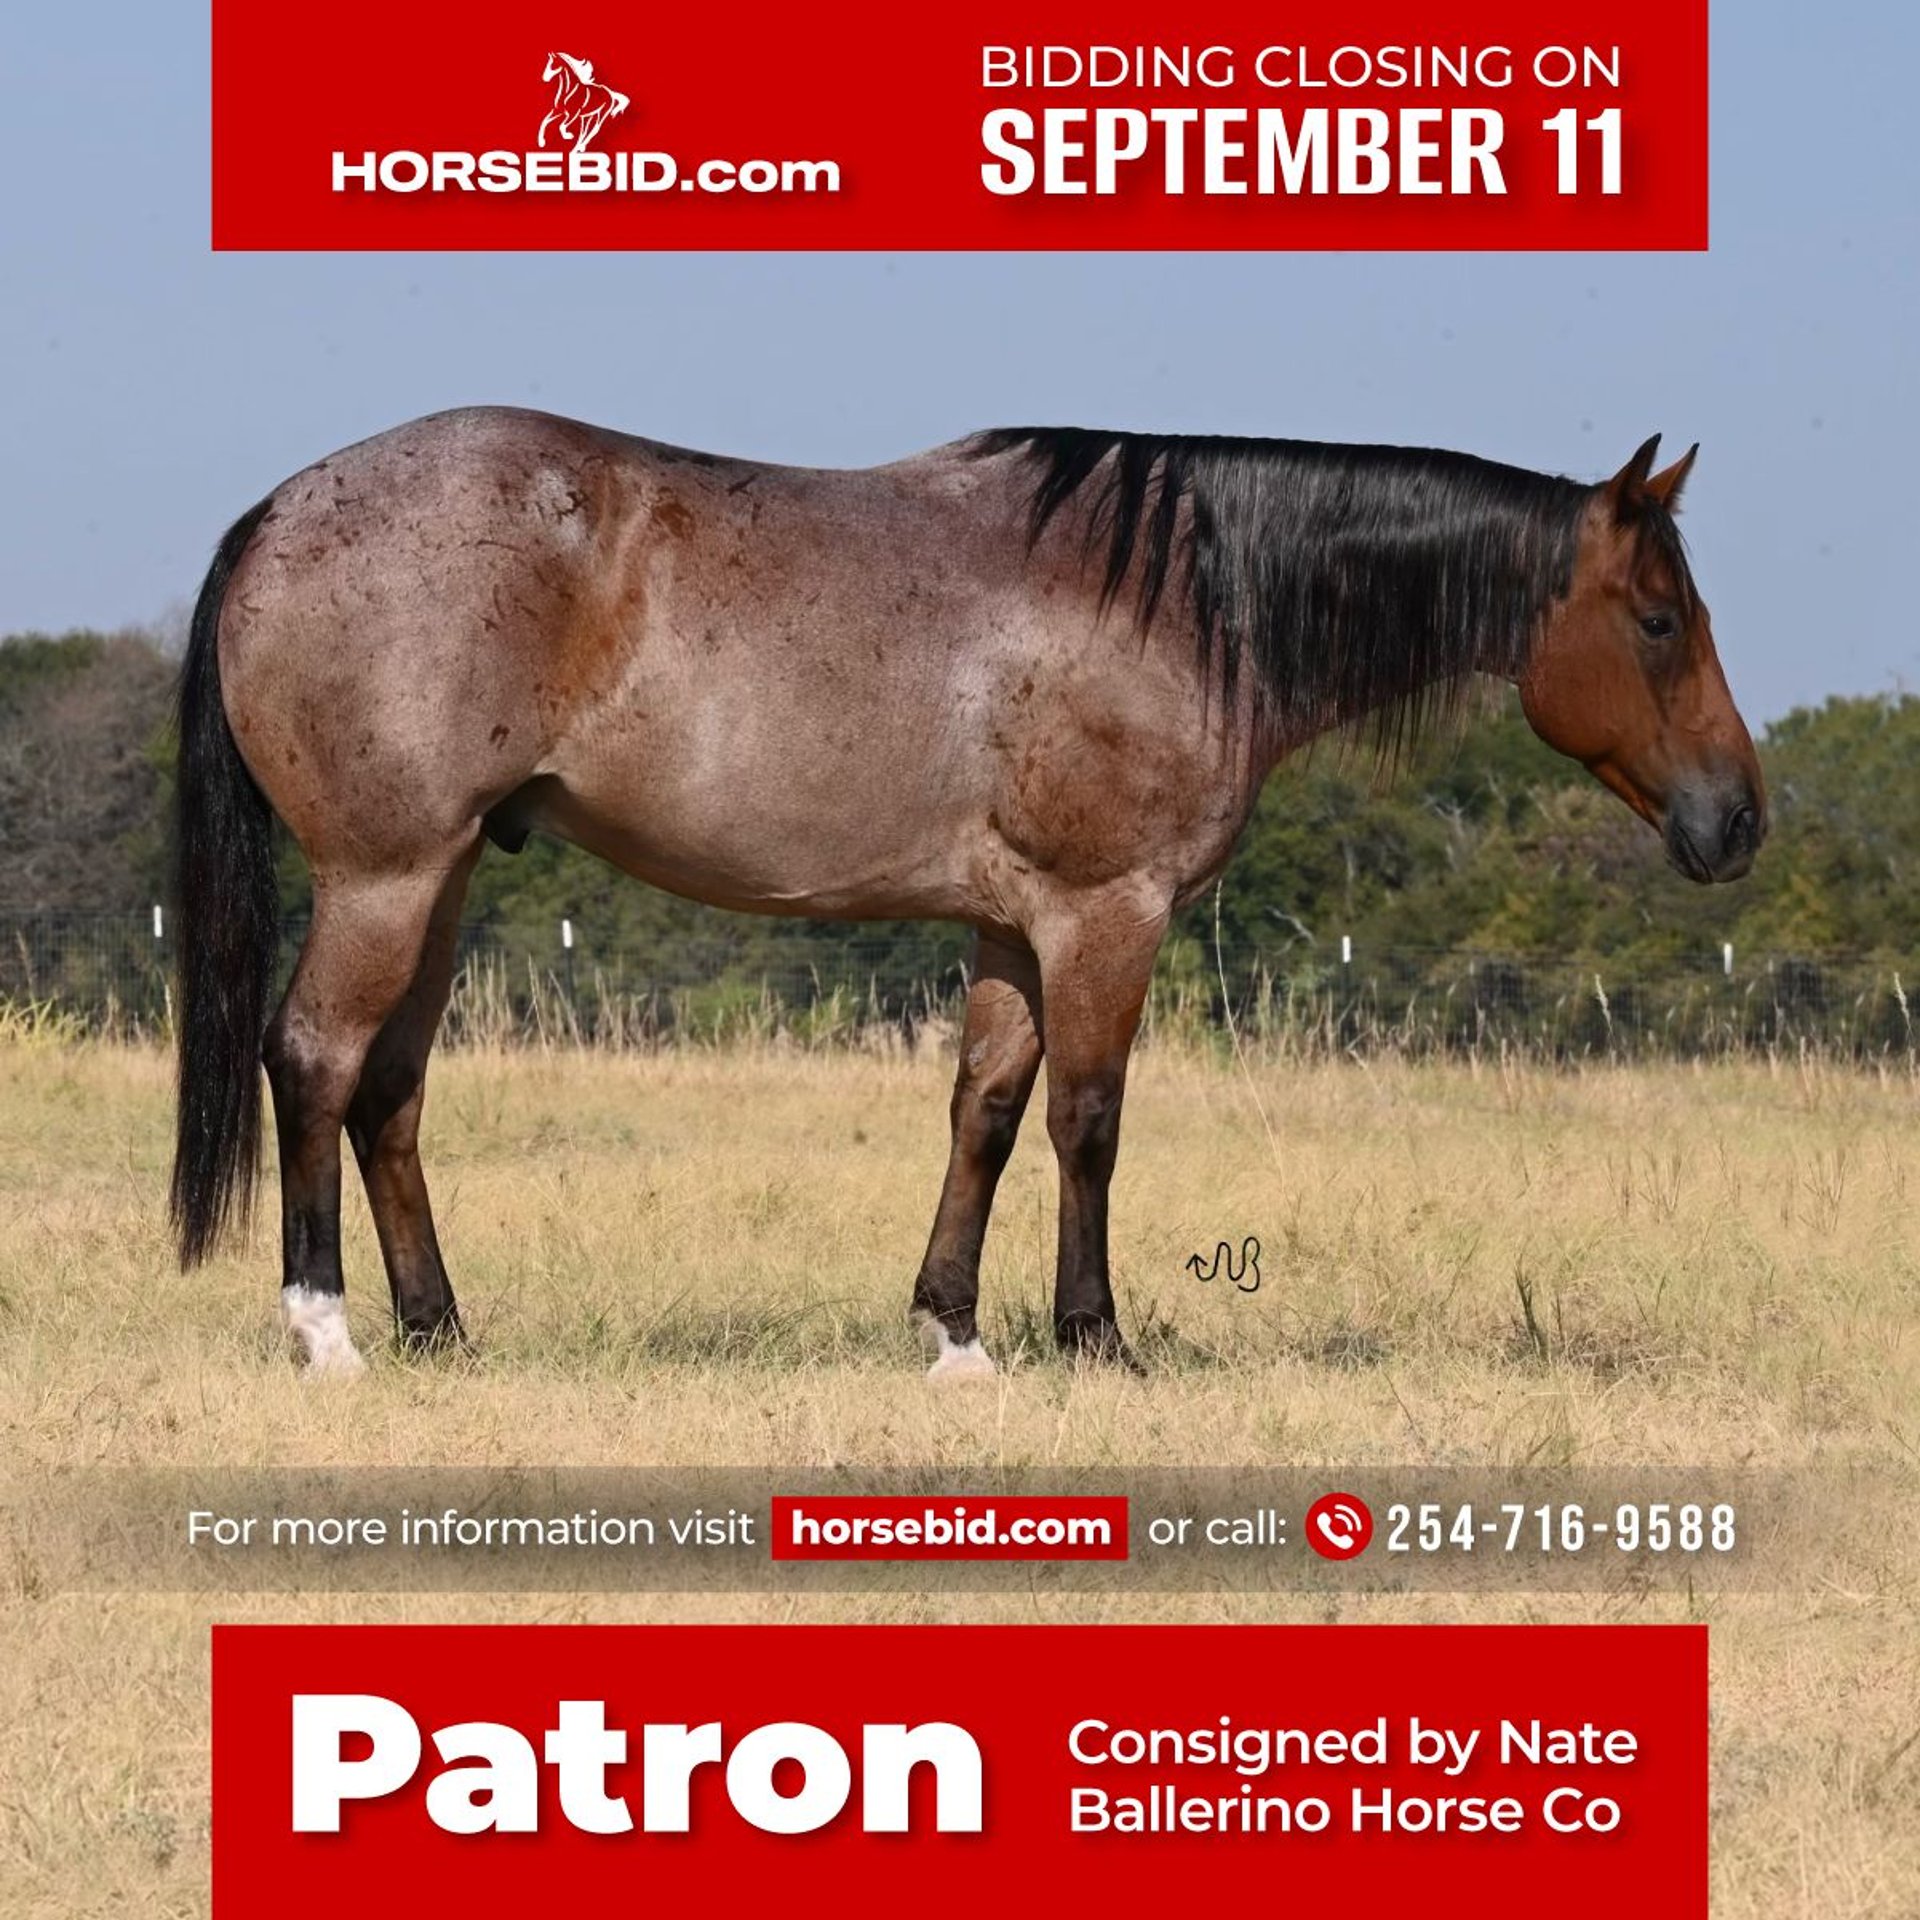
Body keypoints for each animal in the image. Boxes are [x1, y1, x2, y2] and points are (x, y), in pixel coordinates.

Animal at [169, 411, 1766, 1378]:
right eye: (1659, 619)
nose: (1739, 819)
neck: (1183, 598)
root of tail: (279, 510)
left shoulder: (1013, 921)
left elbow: (986, 1113)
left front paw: (954, 1332)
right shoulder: (1109, 911)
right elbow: (1087, 1121)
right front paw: (1095, 1336)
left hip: (440, 882)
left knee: (390, 1092)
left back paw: (443, 1329)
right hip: (383, 879)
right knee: (314, 1061)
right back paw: (325, 1329)